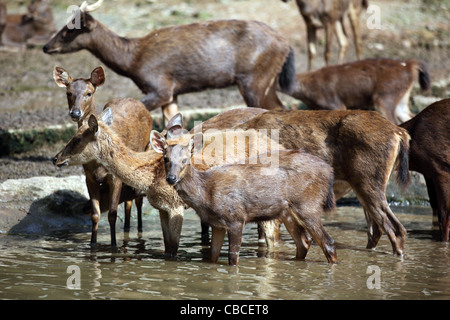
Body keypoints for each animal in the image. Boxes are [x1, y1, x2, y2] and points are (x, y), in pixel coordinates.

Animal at [41, 0, 296, 122]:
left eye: (69, 29)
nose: (46, 46)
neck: (133, 60)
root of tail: (286, 44)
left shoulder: (160, 86)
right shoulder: (173, 93)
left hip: (255, 79)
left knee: (276, 108)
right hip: (264, 80)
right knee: (282, 107)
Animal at [52, 65, 151, 248]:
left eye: (89, 93)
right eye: (68, 93)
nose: (75, 113)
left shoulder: (115, 177)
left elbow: (112, 214)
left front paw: (113, 246)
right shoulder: (89, 177)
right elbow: (95, 215)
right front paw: (93, 245)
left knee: (137, 200)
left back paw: (138, 230)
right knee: (128, 203)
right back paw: (127, 229)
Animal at [151, 131, 338, 266]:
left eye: (185, 160)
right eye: (165, 158)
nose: (171, 178)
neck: (206, 195)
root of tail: (329, 171)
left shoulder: (236, 217)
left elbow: (233, 257)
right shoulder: (216, 223)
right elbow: (212, 256)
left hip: (308, 205)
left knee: (328, 242)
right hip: (288, 212)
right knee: (304, 242)